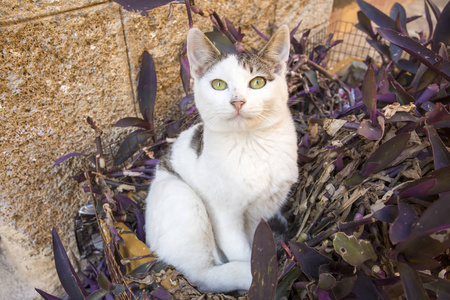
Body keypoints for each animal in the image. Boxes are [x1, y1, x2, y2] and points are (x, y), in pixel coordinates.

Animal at [145, 25, 298, 292]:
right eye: (218, 85)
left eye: (257, 82)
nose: (237, 101)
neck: (251, 143)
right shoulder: (224, 213)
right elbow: (242, 250)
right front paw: (258, 274)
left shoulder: (265, 210)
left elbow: (258, 240)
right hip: (180, 196)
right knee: (201, 274)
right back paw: (248, 276)